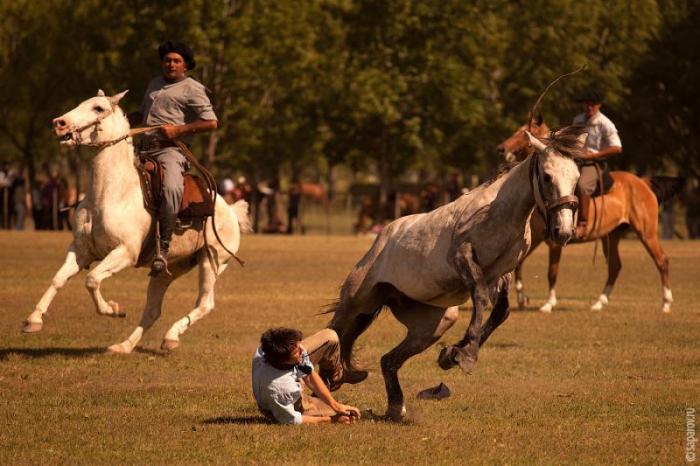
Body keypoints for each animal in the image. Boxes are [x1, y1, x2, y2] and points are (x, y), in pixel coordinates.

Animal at [22, 90, 252, 354]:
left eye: (98, 108)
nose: (59, 123)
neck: (110, 193)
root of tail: (231, 211)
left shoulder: (125, 252)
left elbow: (92, 280)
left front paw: (113, 309)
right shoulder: (81, 250)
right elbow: (58, 278)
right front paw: (33, 320)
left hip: (212, 261)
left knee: (204, 304)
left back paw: (170, 336)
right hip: (167, 271)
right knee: (152, 311)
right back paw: (124, 346)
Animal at [328, 125, 584, 420]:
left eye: (576, 177)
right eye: (547, 176)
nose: (563, 231)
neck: (501, 211)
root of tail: (380, 238)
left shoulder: (503, 272)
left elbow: (501, 311)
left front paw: (452, 353)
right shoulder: (464, 259)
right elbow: (481, 298)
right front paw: (466, 353)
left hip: (434, 323)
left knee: (388, 360)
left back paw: (396, 407)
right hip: (356, 301)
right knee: (335, 333)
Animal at [498, 116, 684, 314]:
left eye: (523, 132)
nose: (502, 149)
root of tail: (643, 182)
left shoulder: (554, 241)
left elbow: (552, 272)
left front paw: (548, 303)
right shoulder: (536, 237)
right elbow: (518, 263)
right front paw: (522, 298)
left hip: (646, 232)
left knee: (661, 260)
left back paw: (666, 303)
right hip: (612, 235)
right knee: (615, 266)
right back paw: (599, 302)